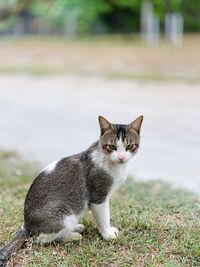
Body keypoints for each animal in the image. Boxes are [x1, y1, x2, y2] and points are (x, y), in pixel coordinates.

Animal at [0, 114, 144, 266]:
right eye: (112, 147)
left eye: (130, 146)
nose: (121, 157)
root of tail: (26, 224)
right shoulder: (98, 196)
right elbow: (104, 217)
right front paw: (108, 234)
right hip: (60, 212)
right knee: (41, 239)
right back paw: (73, 236)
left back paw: (75, 227)